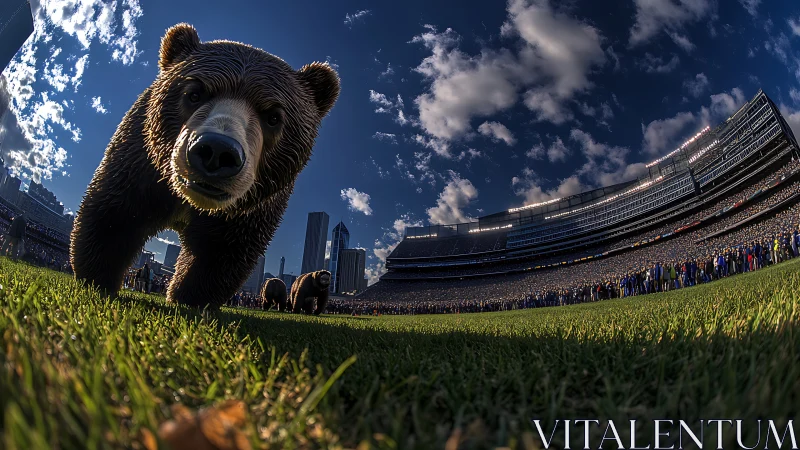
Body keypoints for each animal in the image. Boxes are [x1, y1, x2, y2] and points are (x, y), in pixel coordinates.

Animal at [69, 23, 340, 308]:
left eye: (274, 117)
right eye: (194, 93)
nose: (217, 151)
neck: (186, 201)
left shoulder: (251, 210)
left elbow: (218, 253)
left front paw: (187, 298)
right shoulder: (140, 162)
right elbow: (116, 215)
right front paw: (97, 278)